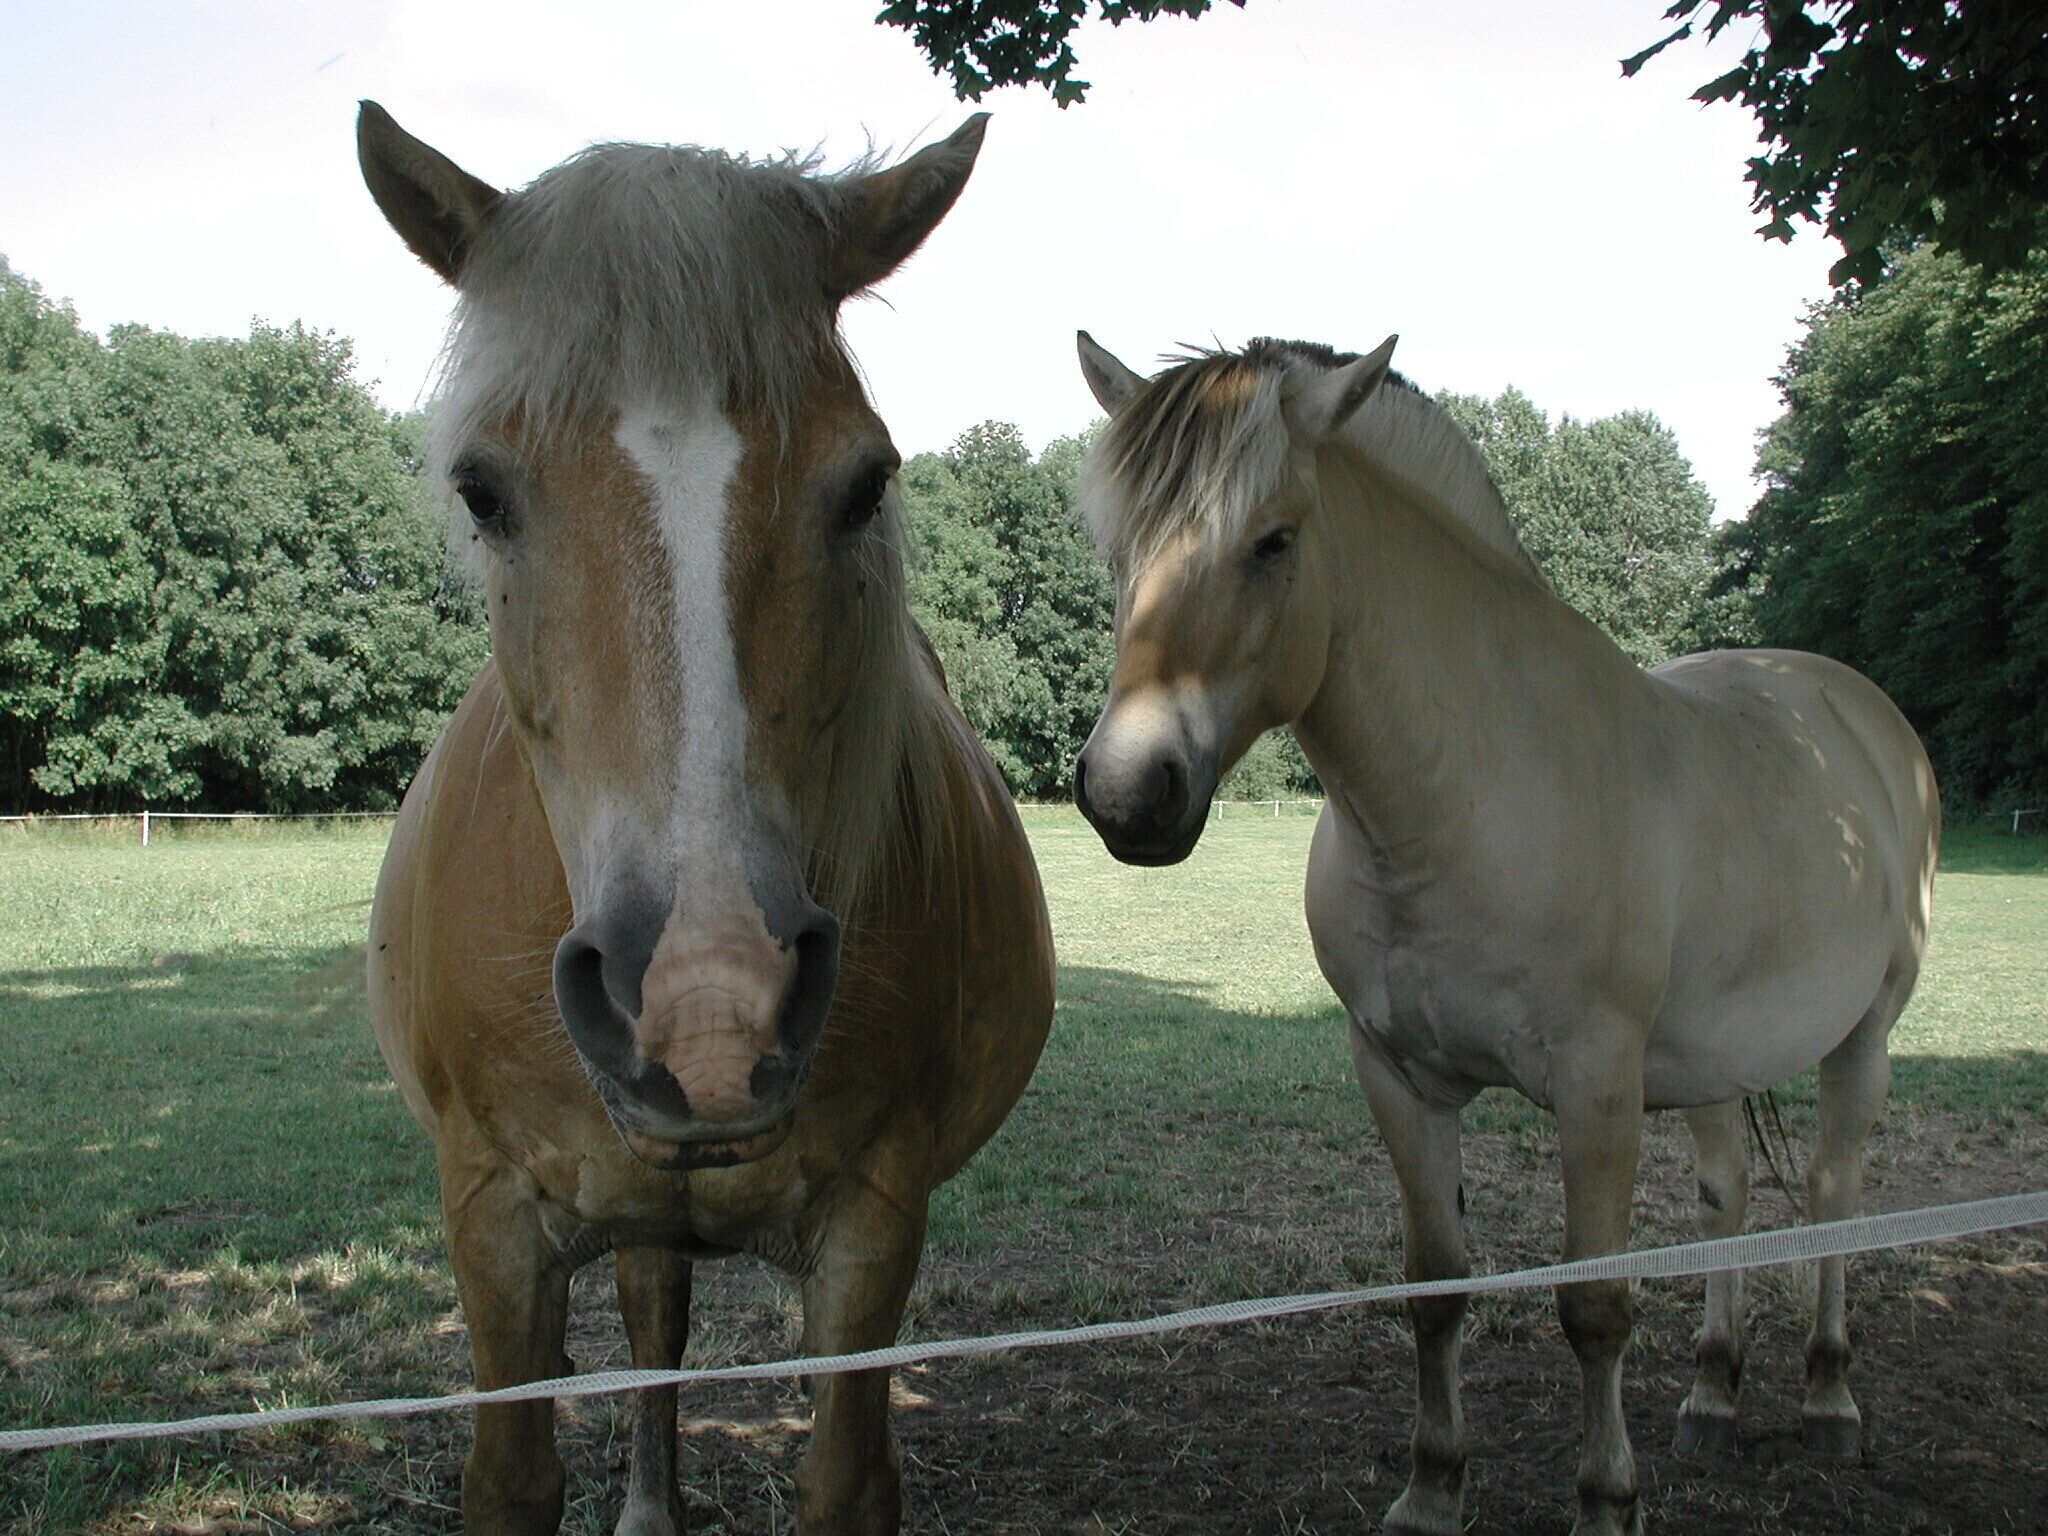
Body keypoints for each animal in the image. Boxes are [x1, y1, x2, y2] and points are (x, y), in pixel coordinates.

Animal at [356, 103, 1055, 1536]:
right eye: (481, 491)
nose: (708, 1010)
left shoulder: (872, 1222)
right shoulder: (490, 1217)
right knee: (652, 1321)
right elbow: (513, 1476)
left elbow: (842, 1478)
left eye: (865, 481)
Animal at [1066, 331, 1938, 1535]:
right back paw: (1713, 1392)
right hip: (1715, 1062)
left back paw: (1829, 1398)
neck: (1461, 799)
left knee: (1832, 1196)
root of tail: (1860, 716)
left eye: (1274, 540)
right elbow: (1434, 1286)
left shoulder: (1596, 1088)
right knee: (1730, 1196)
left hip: (1864, 1034)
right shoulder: (1396, 1076)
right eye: (1118, 550)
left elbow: (1593, 1307)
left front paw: (1606, 1499)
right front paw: (1433, 1488)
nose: (1125, 793)